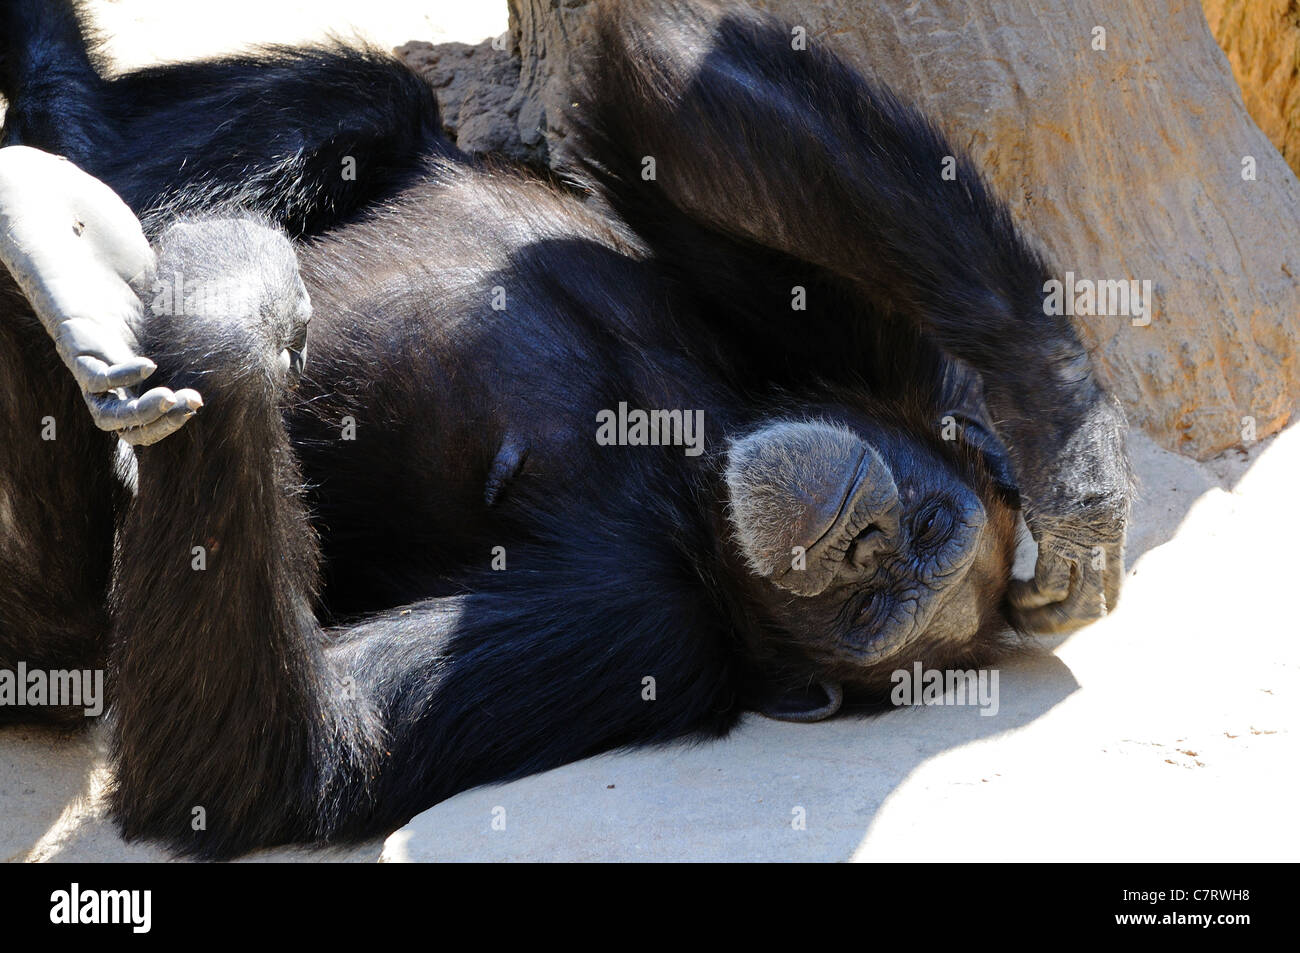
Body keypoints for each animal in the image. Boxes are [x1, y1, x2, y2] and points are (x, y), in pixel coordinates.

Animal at [0, 0, 1128, 858]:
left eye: (877, 605)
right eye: (926, 528)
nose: (867, 539)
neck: (695, 476)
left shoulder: (645, 634)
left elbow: (290, 757)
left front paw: (233, 316)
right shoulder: (847, 356)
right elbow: (675, 81)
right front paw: (1074, 456)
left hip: (55, 631)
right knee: (367, 98)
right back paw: (57, 173)